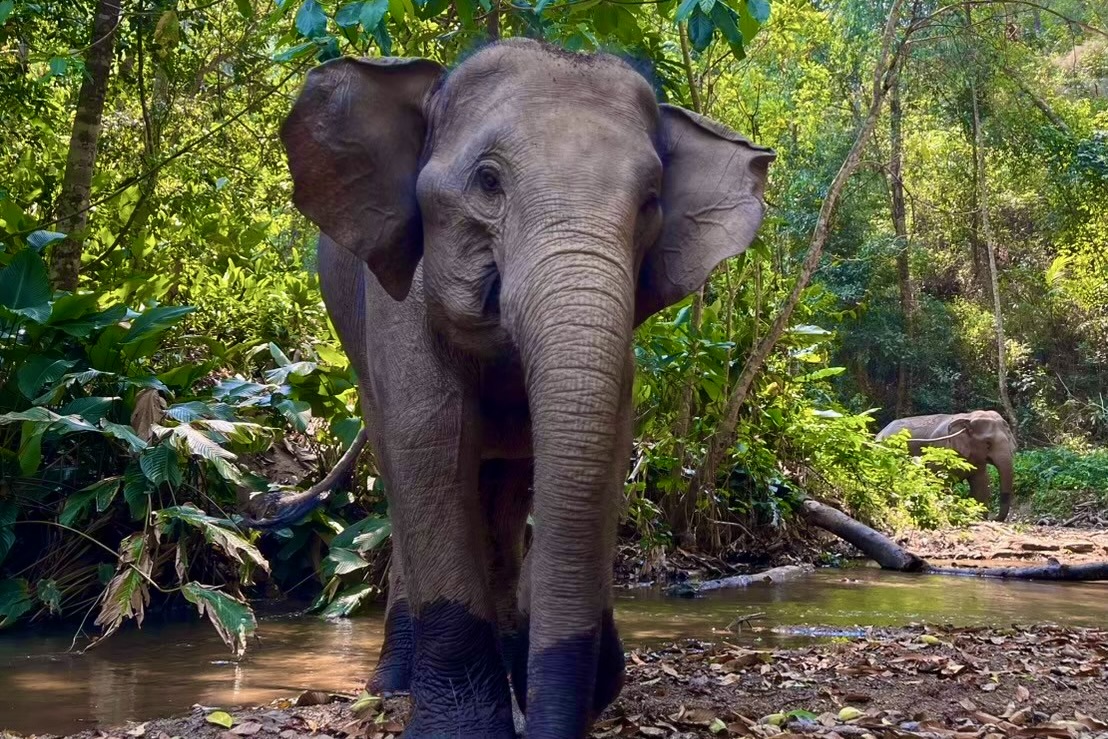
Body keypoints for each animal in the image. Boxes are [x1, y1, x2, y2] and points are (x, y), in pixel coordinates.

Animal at [265, 38, 773, 738]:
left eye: (650, 201)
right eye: (488, 181)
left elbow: (606, 446)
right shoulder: (402, 298)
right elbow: (429, 437)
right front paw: (461, 731)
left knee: (505, 496)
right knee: (404, 475)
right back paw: (395, 683)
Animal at [876, 410, 1016, 522]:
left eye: (1009, 439)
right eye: (988, 443)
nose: (994, 518)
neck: (968, 416)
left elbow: (981, 484)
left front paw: (978, 518)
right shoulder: (940, 450)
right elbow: (938, 482)